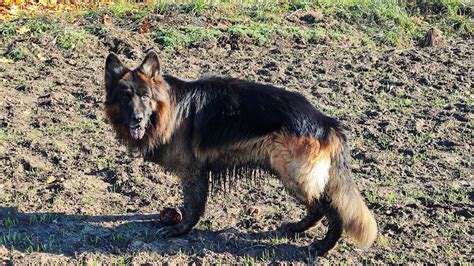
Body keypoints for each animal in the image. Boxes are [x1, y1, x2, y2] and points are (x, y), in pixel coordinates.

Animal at [104, 51, 378, 256]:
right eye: (126, 97)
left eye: (144, 96)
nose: (137, 120)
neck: (169, 109)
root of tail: (327, 123)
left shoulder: (193, 173)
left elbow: (193, 206)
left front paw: (180, 230)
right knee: (318, 208)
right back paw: (298, 228)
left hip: (293, 175)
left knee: (334, 212)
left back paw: (322, 246)